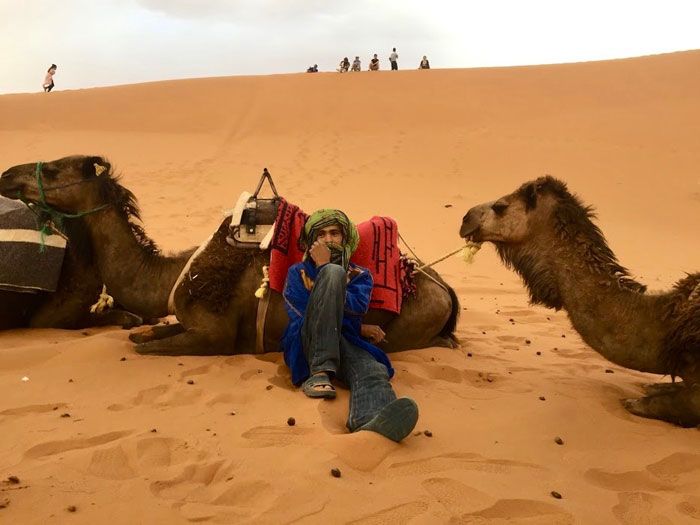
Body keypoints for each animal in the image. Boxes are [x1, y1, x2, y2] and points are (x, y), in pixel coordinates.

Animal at [460, 176, 700, 426]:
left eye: (500, 206)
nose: (465, 218)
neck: (667, 321)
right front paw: (653, 387)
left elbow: (676, 404)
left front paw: (637, 401)